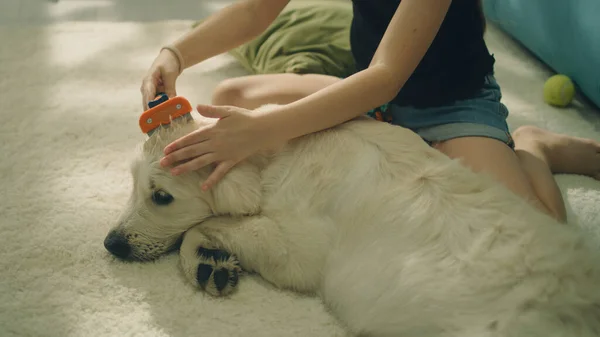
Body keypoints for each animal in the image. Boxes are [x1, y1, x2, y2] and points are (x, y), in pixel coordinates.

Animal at [105, 103, 600, 334]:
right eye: (132, 186)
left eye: (161, 197)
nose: (111, 244)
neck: (274, 158)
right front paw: (212, 263)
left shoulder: (297, 251)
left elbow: (198, 228)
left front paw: (205, 262)